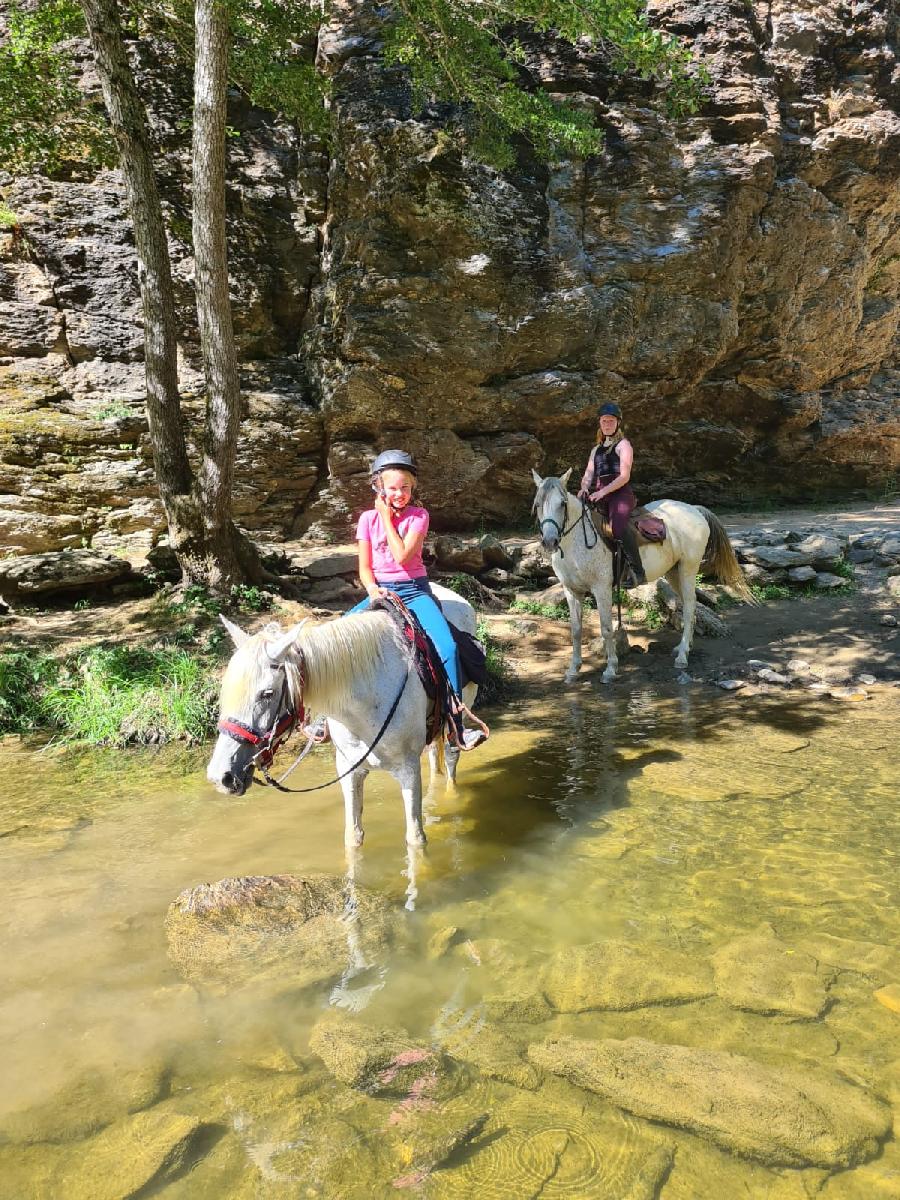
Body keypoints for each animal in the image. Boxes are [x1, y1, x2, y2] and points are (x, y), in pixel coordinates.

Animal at [207, 583, 480, 849]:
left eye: (267, 693)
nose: (220, 776)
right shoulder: (349, 769)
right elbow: (353, 836)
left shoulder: (408, 771)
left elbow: (415, 840)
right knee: (434, 755)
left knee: (452, 755)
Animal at [532, 468, 758, 681]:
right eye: (538, 505)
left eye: (562, 504)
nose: (550, 541)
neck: (576, 542)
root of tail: (694, 509)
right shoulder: (571, 591)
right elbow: (576, 630)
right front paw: (573, 670)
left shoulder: (601, 589)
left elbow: (606, 628)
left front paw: (610, 669)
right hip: (673, 572)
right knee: (689, 605)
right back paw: (684, 647)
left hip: (688, 568)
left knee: (689, 606)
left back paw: (682, 657)